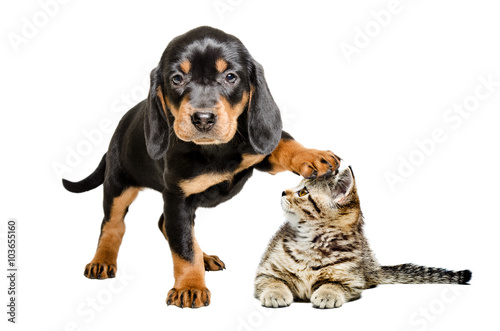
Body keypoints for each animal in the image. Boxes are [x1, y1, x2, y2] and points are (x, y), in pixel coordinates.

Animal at [63, 26, 340, 308]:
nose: (203, 118)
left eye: (230, 77)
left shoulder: (256, 151)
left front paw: (312, 156)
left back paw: (204, 257)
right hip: (118, 184)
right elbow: (184, 249)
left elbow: (283, 143)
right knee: (113, 224)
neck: (214, 149)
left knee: (165, 225)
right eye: (177, 78)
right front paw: (190, 287)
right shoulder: (177, 198)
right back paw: (102, 260)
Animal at [256, 167, 470, 310]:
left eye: (303, 192)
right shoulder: (264, 271)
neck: (312, 241)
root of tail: (373, 267)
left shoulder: (352, 281)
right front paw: (275, 293)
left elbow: (334, 284)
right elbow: (273, 281)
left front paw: (327, 293)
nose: (282, 192)